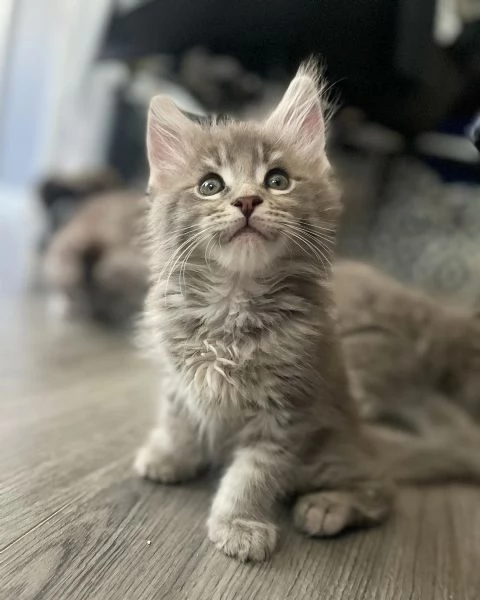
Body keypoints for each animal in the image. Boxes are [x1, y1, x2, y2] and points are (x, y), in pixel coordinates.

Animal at [133, 62, 392, 564]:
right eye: (210, 185)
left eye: (277, 180)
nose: (248, 200)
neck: (231, 304)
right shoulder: (179, 377)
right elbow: (178, 420)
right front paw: (170, 456)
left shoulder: (287, 412)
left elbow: (252, 475)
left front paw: (238, 524)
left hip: (334, 452)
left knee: (380, 492)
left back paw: (328, 507)